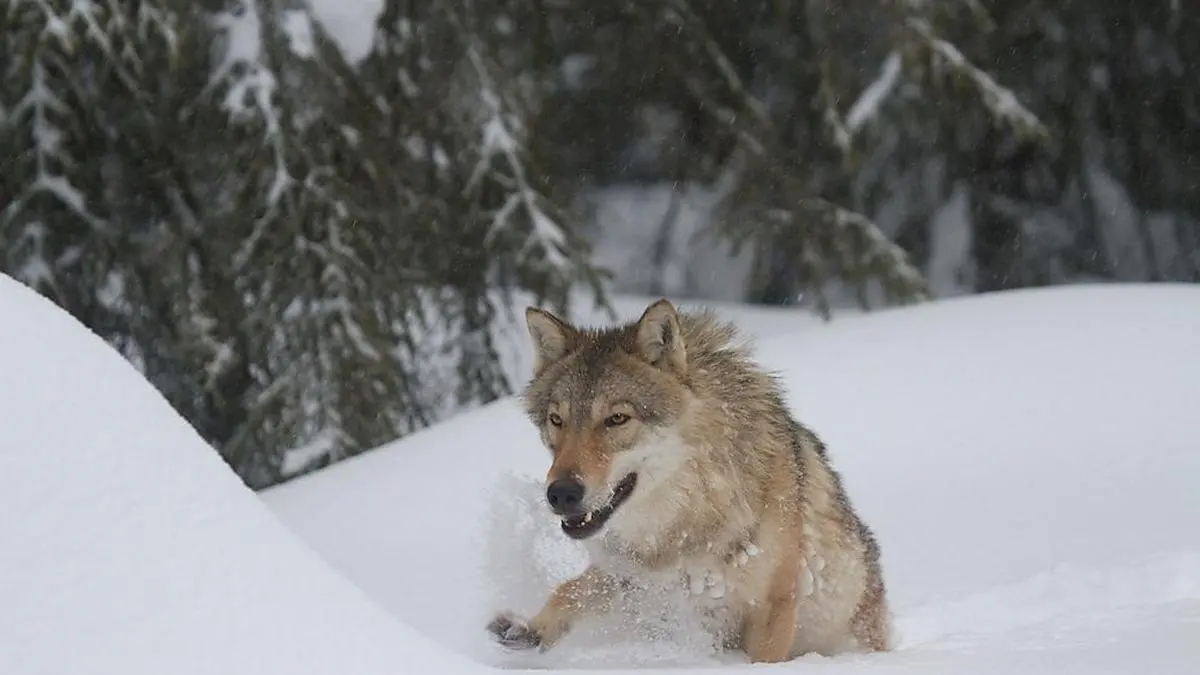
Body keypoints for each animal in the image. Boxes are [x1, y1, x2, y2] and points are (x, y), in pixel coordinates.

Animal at [485, 298, 890, 663]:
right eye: (557, 420)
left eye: (617, 419)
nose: (561, 494)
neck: (690, 513)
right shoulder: (635, 578)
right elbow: (572, 588)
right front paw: (530, 628)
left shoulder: (773, 608)